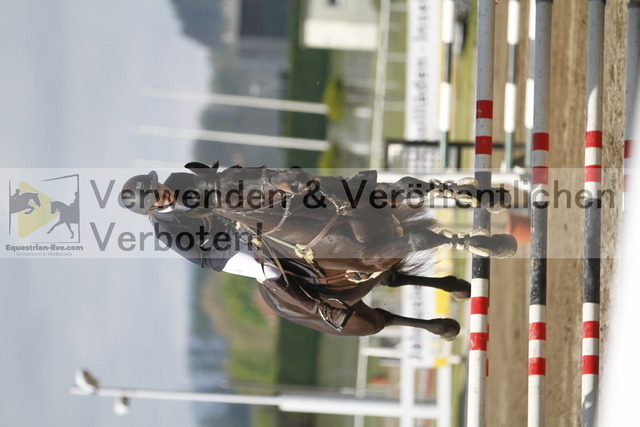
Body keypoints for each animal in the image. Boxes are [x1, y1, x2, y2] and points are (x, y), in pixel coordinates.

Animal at [183, 161, 516, 339]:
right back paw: (444, 326)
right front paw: (494, 245)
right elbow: (420, 238)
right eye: (233, 196)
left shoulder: (379, 199)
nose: (295, 179)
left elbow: (416, 184)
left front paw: (489, 197)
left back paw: (457, 289)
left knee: (392, 280)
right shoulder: (374, 255)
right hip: (355, 320)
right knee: (384, 317)